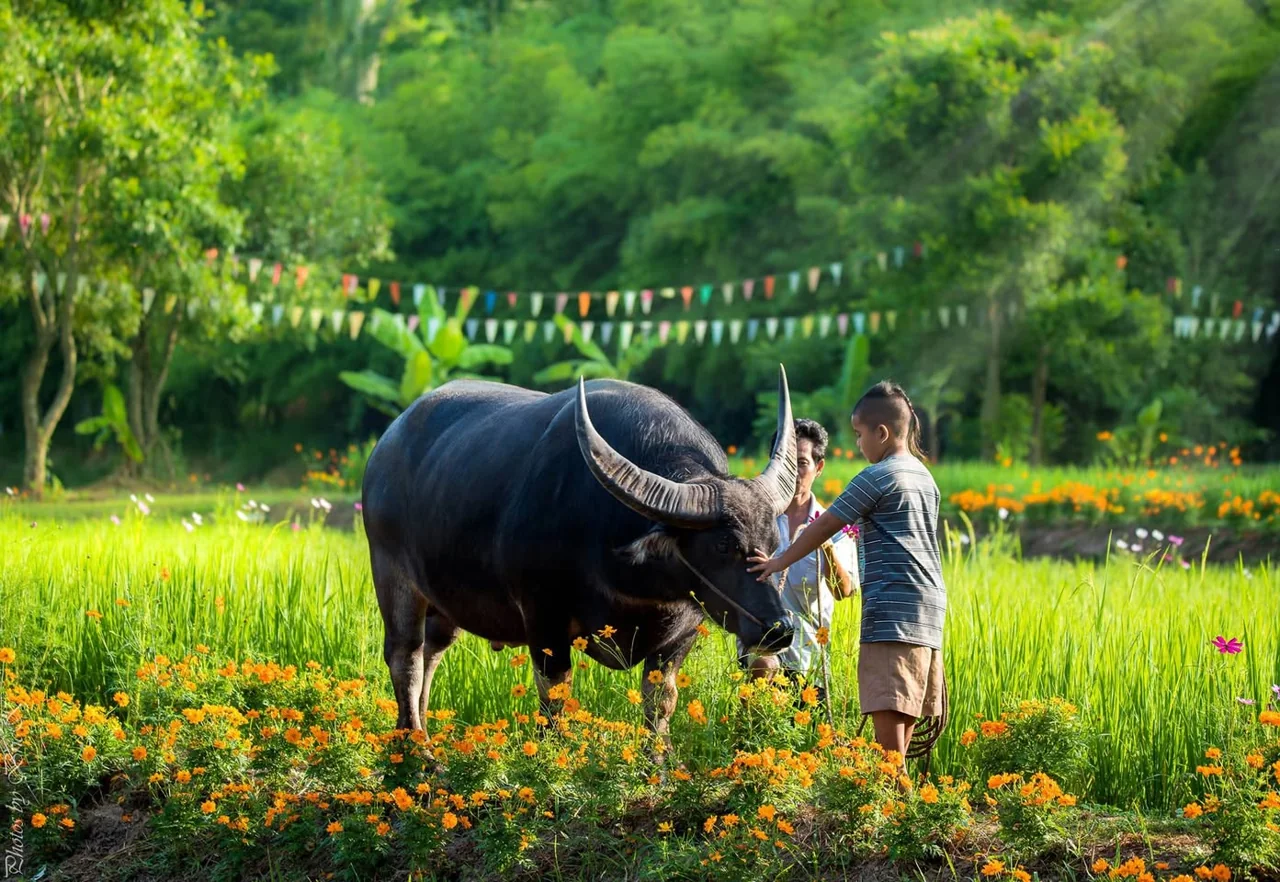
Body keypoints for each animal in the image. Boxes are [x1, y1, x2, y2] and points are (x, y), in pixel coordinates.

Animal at [361, 367, 799, 733]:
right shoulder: (543, 619)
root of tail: (385, 446)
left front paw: (658, 767)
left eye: (773, 543)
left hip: (445, 602)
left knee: (431, 653)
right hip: (391, 575)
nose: (778, 629)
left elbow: (661, 701)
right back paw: (417, 750)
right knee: (405, 656)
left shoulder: (684, 632)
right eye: (723, 544)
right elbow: (555, 699)